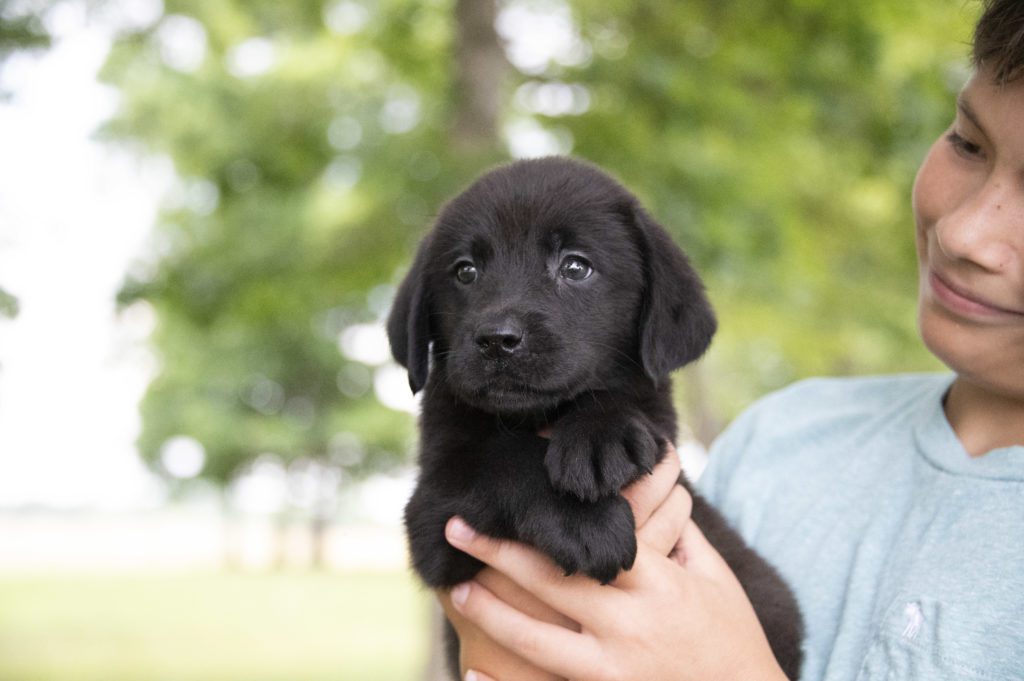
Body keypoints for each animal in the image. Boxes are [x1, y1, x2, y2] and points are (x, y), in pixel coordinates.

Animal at [387, 156, 802, 675]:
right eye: (465, 271)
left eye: (575, 266)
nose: (497, 340)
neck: (537, 416)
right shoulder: (432, 517)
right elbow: (501, 455)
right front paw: (586, 521)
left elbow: (616, 393)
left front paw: (600, 438)